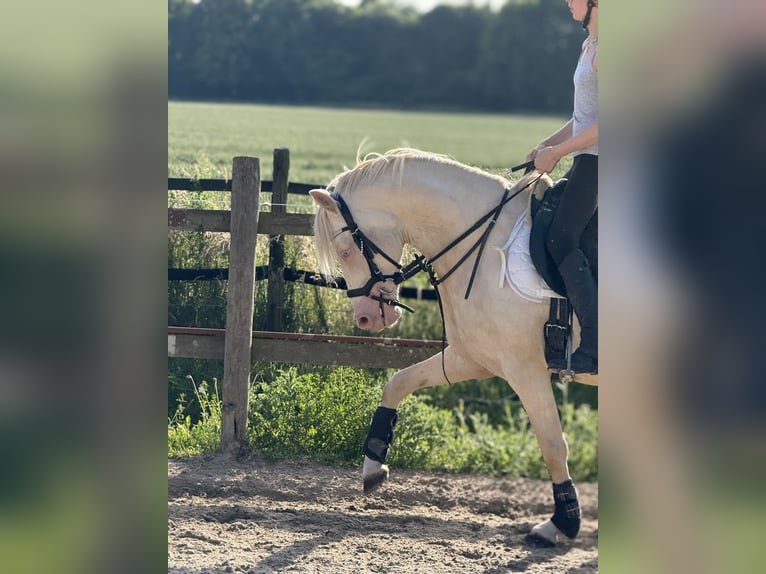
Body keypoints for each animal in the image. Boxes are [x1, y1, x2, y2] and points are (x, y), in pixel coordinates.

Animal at [309, 148, 597, 545]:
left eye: (346, 250)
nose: (366, 319)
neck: (484, 243)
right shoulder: (473, 358)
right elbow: (398, 382)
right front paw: (373, 466)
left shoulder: (525, 369)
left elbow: (553, 445)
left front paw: (562, 523)